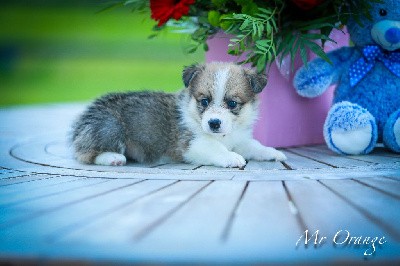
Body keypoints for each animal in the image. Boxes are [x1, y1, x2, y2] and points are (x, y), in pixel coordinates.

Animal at [70, 61, 286, 167]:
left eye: (232, 103)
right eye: (204, 101)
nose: (214, 123)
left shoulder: (240, 139)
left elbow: (255, 146)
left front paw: (273, 153)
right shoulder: (190, 144)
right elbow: (216, 148)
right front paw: (231, 157)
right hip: (109, 126)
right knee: (85, 154)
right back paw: (112, 158)